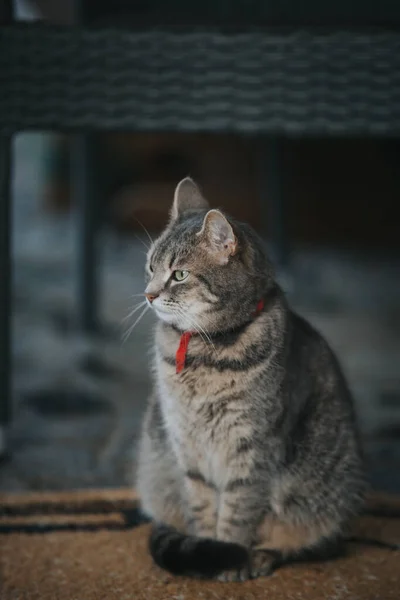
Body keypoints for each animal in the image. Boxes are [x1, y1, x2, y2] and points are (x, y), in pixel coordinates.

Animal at [136, 176, 368, 580]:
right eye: (151, 267)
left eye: (179, 274)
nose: (149, 295)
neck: (206, 352)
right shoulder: (186, 445)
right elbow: (202, 507)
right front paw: (209, 550)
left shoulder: (252, 447)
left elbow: (237, 513)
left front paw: (230, 556)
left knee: (315, 542)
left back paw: (262, 557)